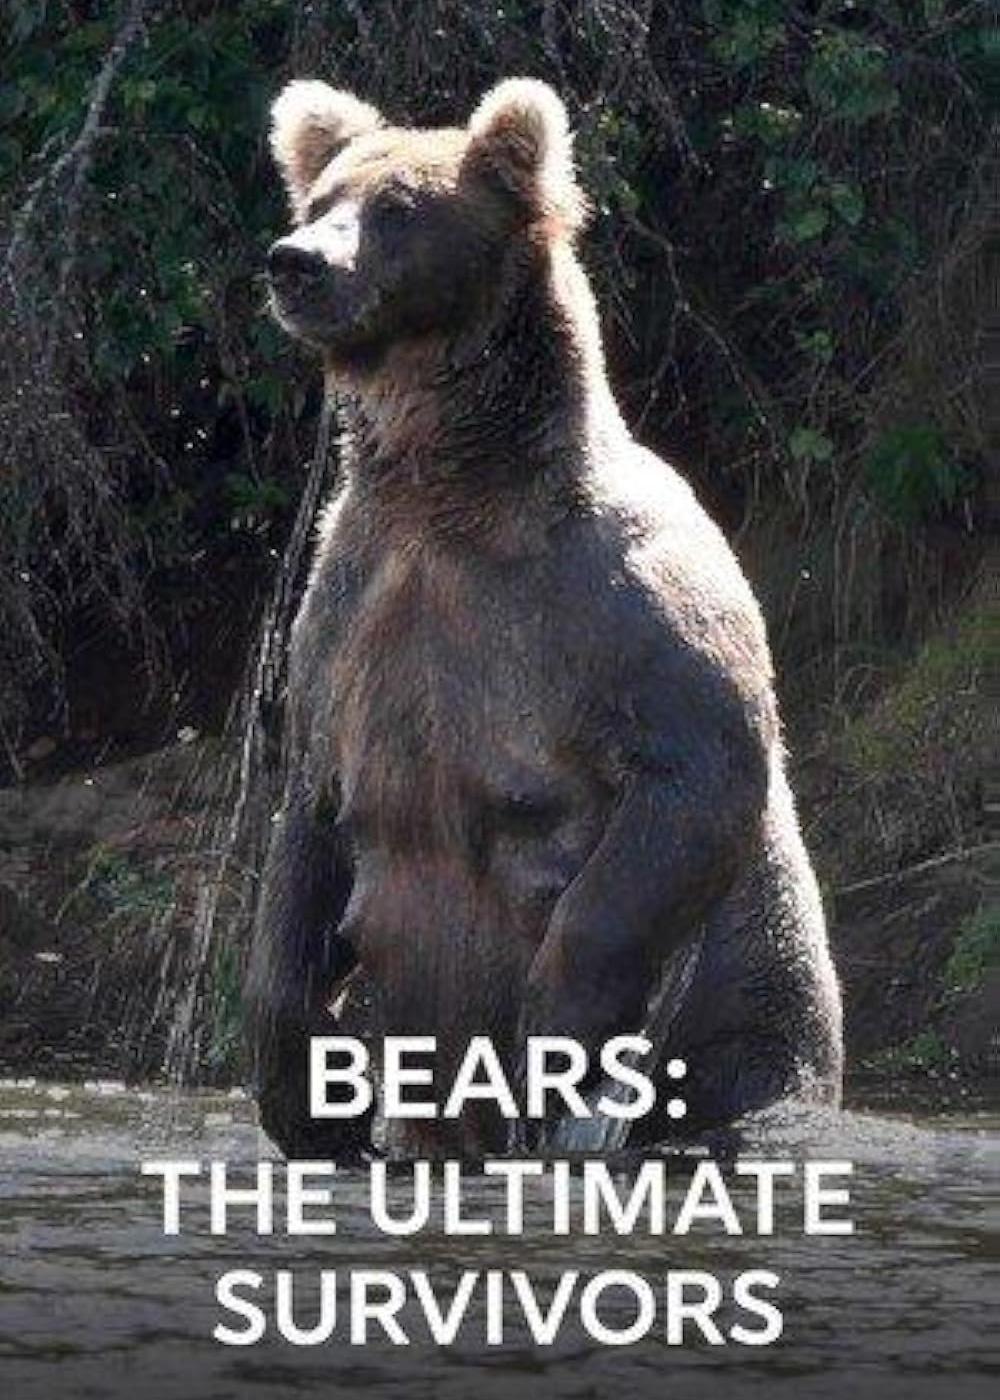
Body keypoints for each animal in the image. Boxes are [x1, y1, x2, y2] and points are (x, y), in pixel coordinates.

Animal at [244, 76, 843, 1161]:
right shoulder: (350, 614)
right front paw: (306, 1088)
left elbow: (697, 770)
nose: (297, 261)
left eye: (400, 208)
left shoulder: (612, 595)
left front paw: (551, 1042)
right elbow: (309, 816)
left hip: (754, 1011)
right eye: (319, 199)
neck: (452, 490)